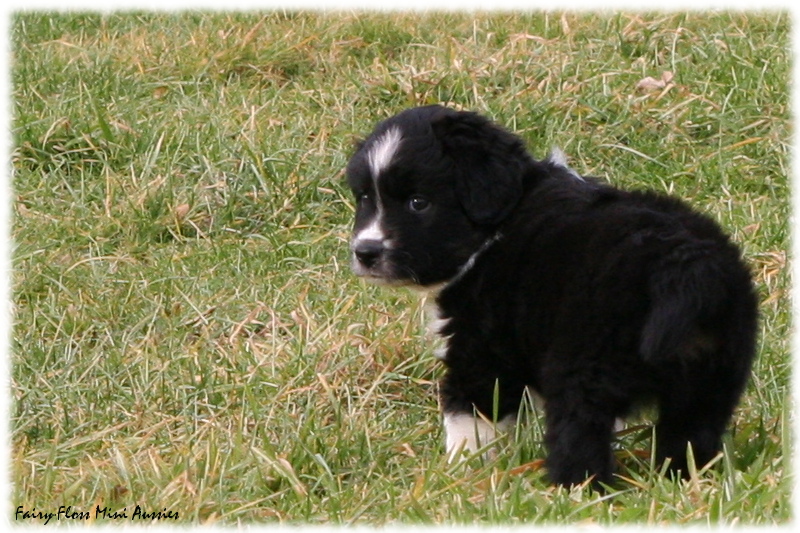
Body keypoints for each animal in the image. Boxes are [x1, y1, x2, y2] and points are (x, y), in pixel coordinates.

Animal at [344, 104, 756, 486]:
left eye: (418, 202)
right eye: (364, 198)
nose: (365, 252)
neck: (497, 227)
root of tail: (685, 260)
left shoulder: (480, 350)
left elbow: (469, 418)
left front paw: (459, 473)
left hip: (585, 369)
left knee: (580, 438)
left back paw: (572, 489)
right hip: (712, 377)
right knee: (692, 433)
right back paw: (684, 480)